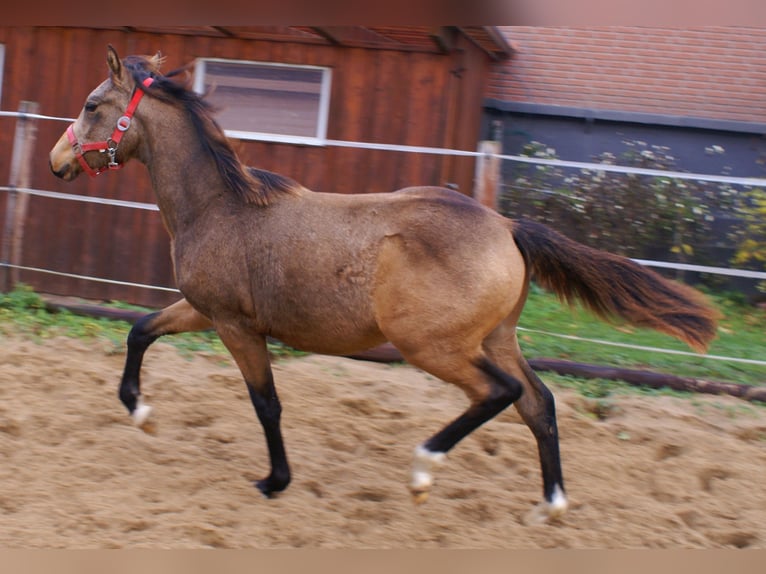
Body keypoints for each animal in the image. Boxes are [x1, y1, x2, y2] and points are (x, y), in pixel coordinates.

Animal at [49, 46, 720, 528]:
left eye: (90, 104)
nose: (56, 161)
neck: (220, 207)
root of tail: (506, 226)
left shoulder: (236, 325)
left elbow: (267, 403)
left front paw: (274, 481)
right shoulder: (203, 309)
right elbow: (140, 331)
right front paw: (140, 412)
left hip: (432, 346)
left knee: (498, 394)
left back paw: (423, 470)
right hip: (496, 339)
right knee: (539, 402)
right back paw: (549, 505)